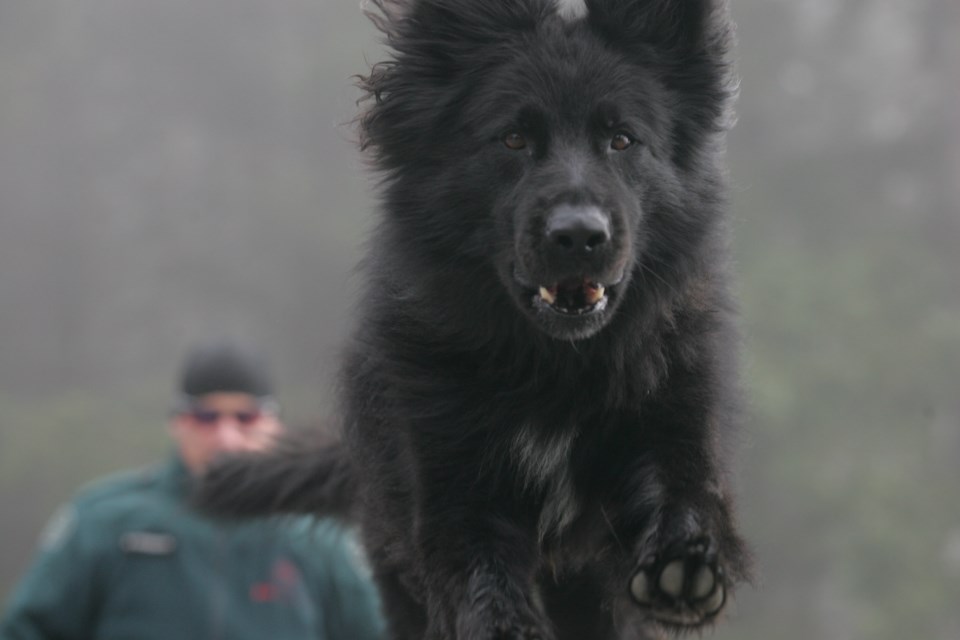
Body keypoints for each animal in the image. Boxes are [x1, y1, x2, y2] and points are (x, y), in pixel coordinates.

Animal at [201, 2, 752, 636]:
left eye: (622, 139)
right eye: (513, 139)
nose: (579, 236)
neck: (557, 367)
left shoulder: (669, 418)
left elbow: (684, 494)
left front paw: (683, 565)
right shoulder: (451, 482)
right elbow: (479, 573)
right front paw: (506, 624)